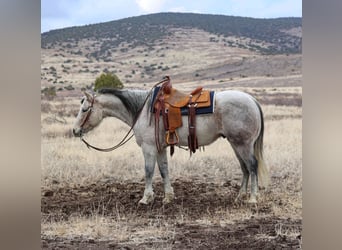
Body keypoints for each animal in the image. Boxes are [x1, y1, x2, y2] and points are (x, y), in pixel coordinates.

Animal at [73, 87, 270, 204]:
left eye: (84, 109)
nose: (75, 131)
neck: (143, 110)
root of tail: (252, 100)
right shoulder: (160, 148)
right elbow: (164, 170)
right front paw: (168, 197)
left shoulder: (149, 148)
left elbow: (148, 171)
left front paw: (146, 198)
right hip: (235, 144)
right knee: (244, 168)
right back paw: (240, 196)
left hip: (243, 144)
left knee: (252, 166)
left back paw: (253, 198)